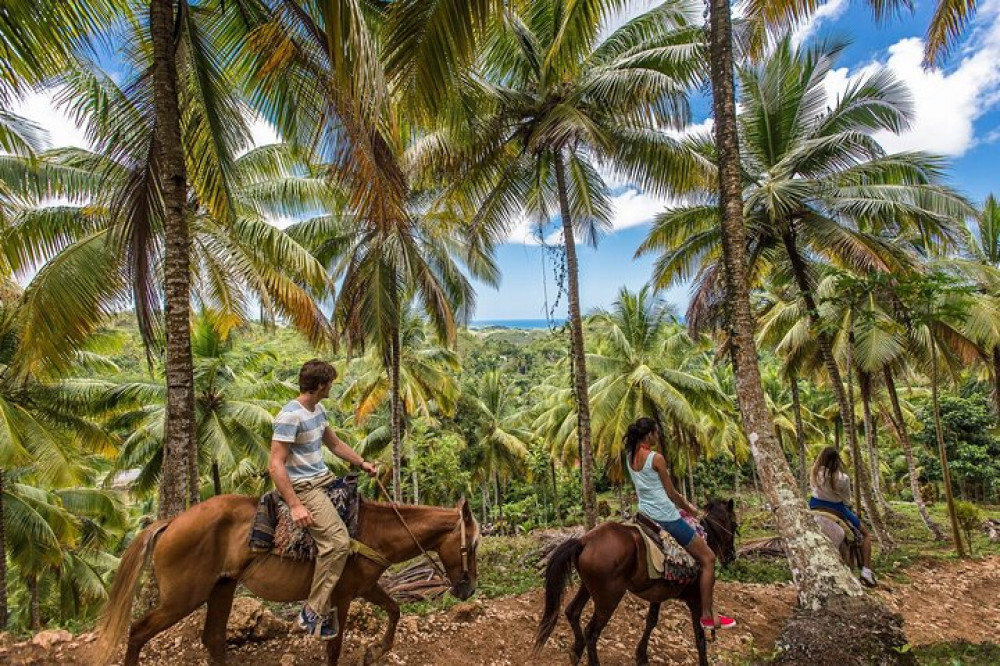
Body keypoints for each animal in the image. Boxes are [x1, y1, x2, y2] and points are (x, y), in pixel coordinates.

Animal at [95, 490, 478, 664]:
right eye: (472, 545)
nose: (469, 589)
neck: (373, 531)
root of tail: (171, 522)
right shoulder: (342, 594)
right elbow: (334, 645)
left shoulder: (366, 587)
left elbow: (395, 610)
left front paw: (376, 650)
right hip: (183, 597)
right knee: (139, 630)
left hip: (222, 587)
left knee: (213, 638)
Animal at [536, 498, 740, 664]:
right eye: (735, 525)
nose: (731, 556)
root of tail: (584, 541)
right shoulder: (695, 599)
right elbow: (700, 638)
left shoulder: (658, 594)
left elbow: (651, 621)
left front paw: (641, 656)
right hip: (609, 598)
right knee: (591, 633)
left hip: (587, 587)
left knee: (573, 612)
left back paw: (576, 652)